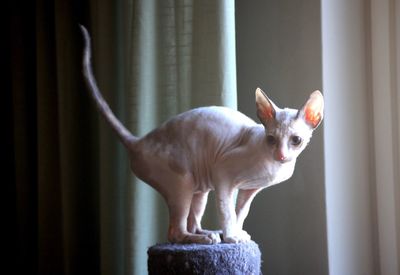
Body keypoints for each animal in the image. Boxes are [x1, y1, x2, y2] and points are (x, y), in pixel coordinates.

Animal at [79, 25, 324, 245]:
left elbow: (241, 213)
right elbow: (227, 211)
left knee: (192, 220)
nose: (281, 155)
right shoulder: (223, 175)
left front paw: (236, 234)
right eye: (271, 139)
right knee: (175, 232)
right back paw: (203, 239)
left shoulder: (249, 189)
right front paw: (232, 238)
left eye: (295, 140)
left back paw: (209, 234)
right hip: (183, 181)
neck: (273, 166)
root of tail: (140, 141)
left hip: (201, 189)